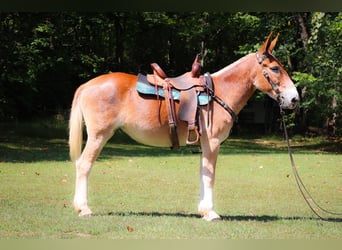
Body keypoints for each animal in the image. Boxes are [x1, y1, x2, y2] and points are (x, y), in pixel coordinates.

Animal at [69, 32, 300, 221]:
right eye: (275, 68)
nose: (294, 98)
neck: (219, 92)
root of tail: (88, 85)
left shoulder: (205, 144)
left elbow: (203, 173)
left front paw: (203, 210)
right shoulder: (212, 142)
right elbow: (210, 175)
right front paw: (211, 213)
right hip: (99, 136)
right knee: (83, 165)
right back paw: (83, 208)